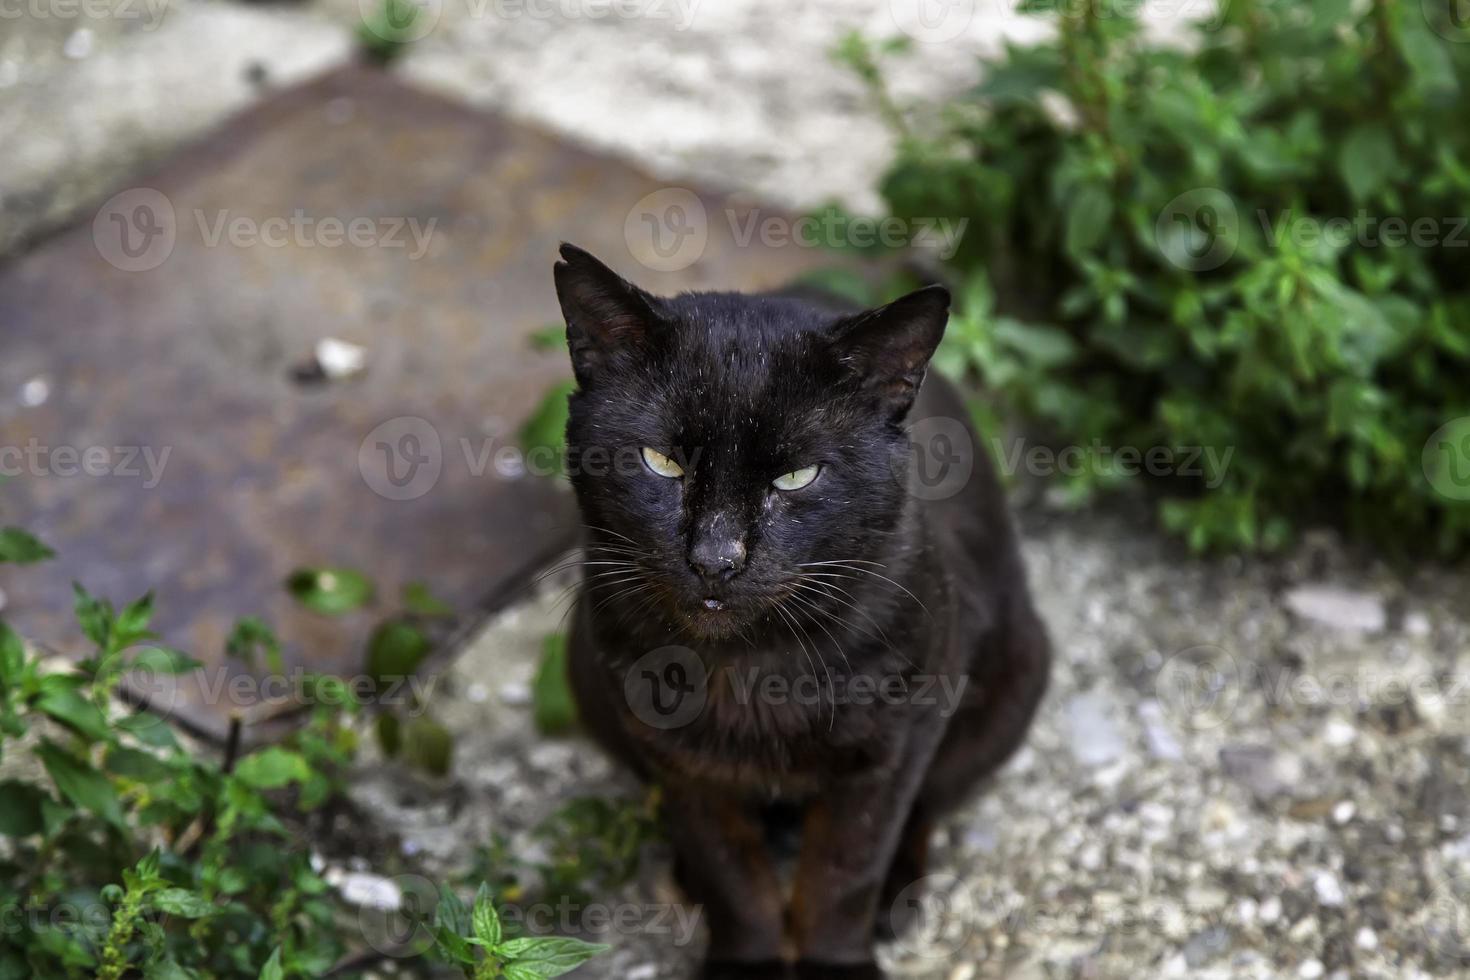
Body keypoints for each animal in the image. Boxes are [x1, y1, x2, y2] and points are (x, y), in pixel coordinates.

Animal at [552, 245, 1046, 980]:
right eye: (661, 462)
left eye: (796, 478)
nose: (716, 558)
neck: (751, 669)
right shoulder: (679, 763)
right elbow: (730, 874)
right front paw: (743, 961)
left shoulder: (893, 746)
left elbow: (844, 873)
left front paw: (839, 960)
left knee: (932, 800)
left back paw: (898, 895)